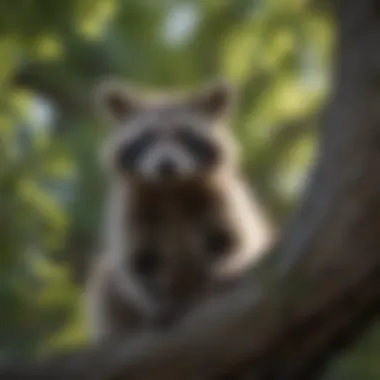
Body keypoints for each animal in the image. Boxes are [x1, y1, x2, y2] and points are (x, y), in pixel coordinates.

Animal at [85, 78, 274, 340]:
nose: (166, 166)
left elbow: (242, 239)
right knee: (105, 281)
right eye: (148, 138)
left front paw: (231, 264)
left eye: (185, 136)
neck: (171, 191)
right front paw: (153, 300)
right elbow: (133, 262)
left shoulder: (225, 197)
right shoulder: (129, 208)